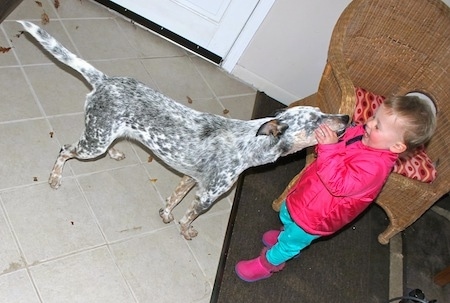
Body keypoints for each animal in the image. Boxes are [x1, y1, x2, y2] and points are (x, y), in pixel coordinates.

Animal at [18, 20, 352, 240]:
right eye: (316, 121)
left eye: (323, 112)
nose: (348, 117)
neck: (249, 146)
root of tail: (105, 80)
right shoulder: (206, 196)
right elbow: (187, 218)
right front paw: (186, 230)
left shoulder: (189, 179)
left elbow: (173, 201)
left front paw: (166, 214)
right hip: (92, 145)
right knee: (64, 150)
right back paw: (55, 177)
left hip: (103, 135)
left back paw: (115, 154)